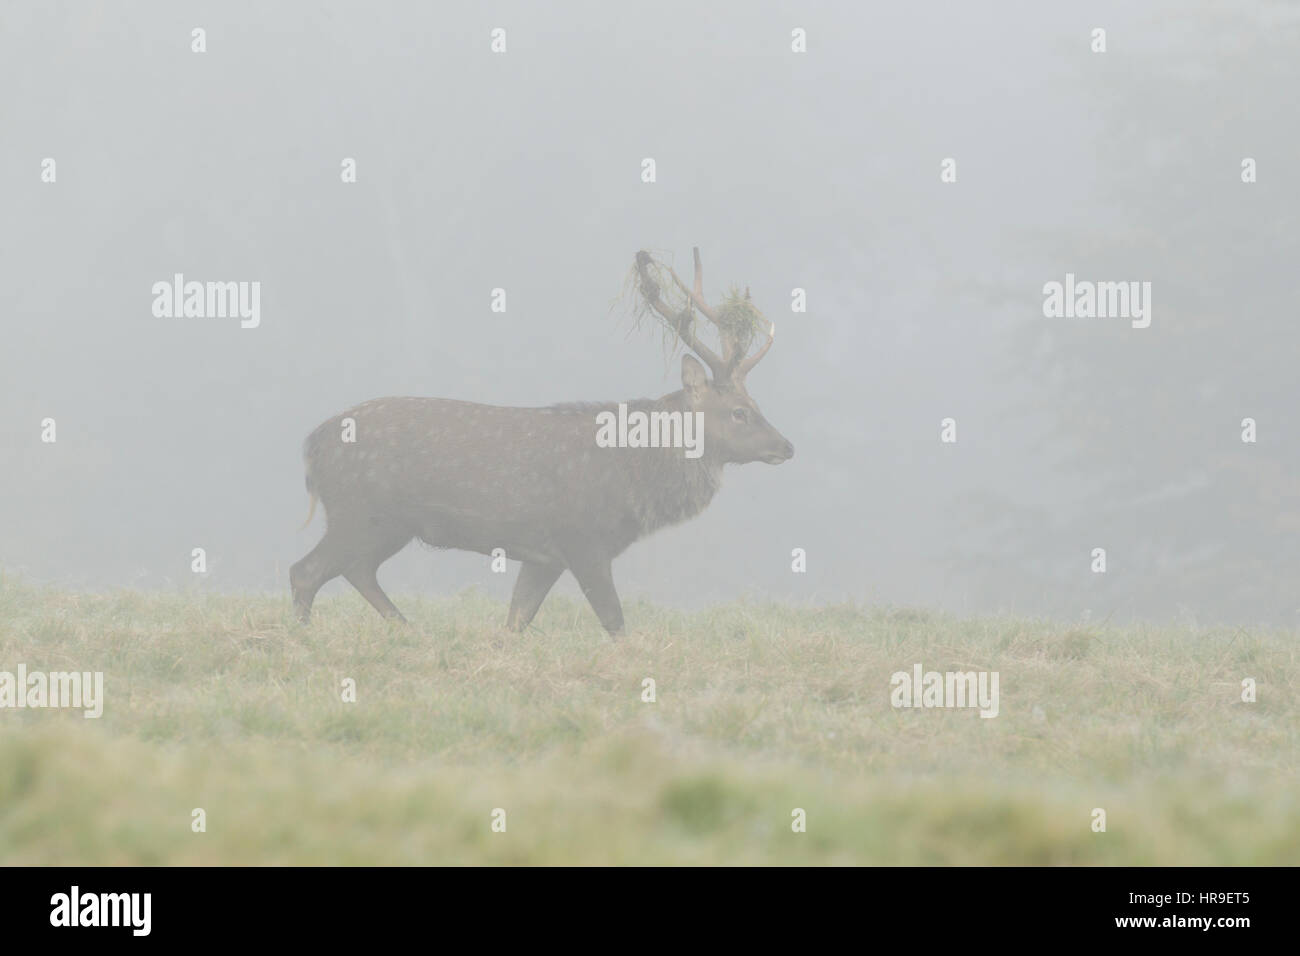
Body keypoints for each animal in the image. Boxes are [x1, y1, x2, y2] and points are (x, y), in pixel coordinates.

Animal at [289, 248, 794, 635]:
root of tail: (312, 445)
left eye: (755, 402)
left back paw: (408, 629)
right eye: (739, 411)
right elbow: (615, 622)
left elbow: (517, 619)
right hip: (360, 511)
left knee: (356, 570)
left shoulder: (542, 556)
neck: (635, 475)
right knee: (307, 571)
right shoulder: (582, 538)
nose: (786, 446)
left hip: (385, 524)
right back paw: (307, 636)